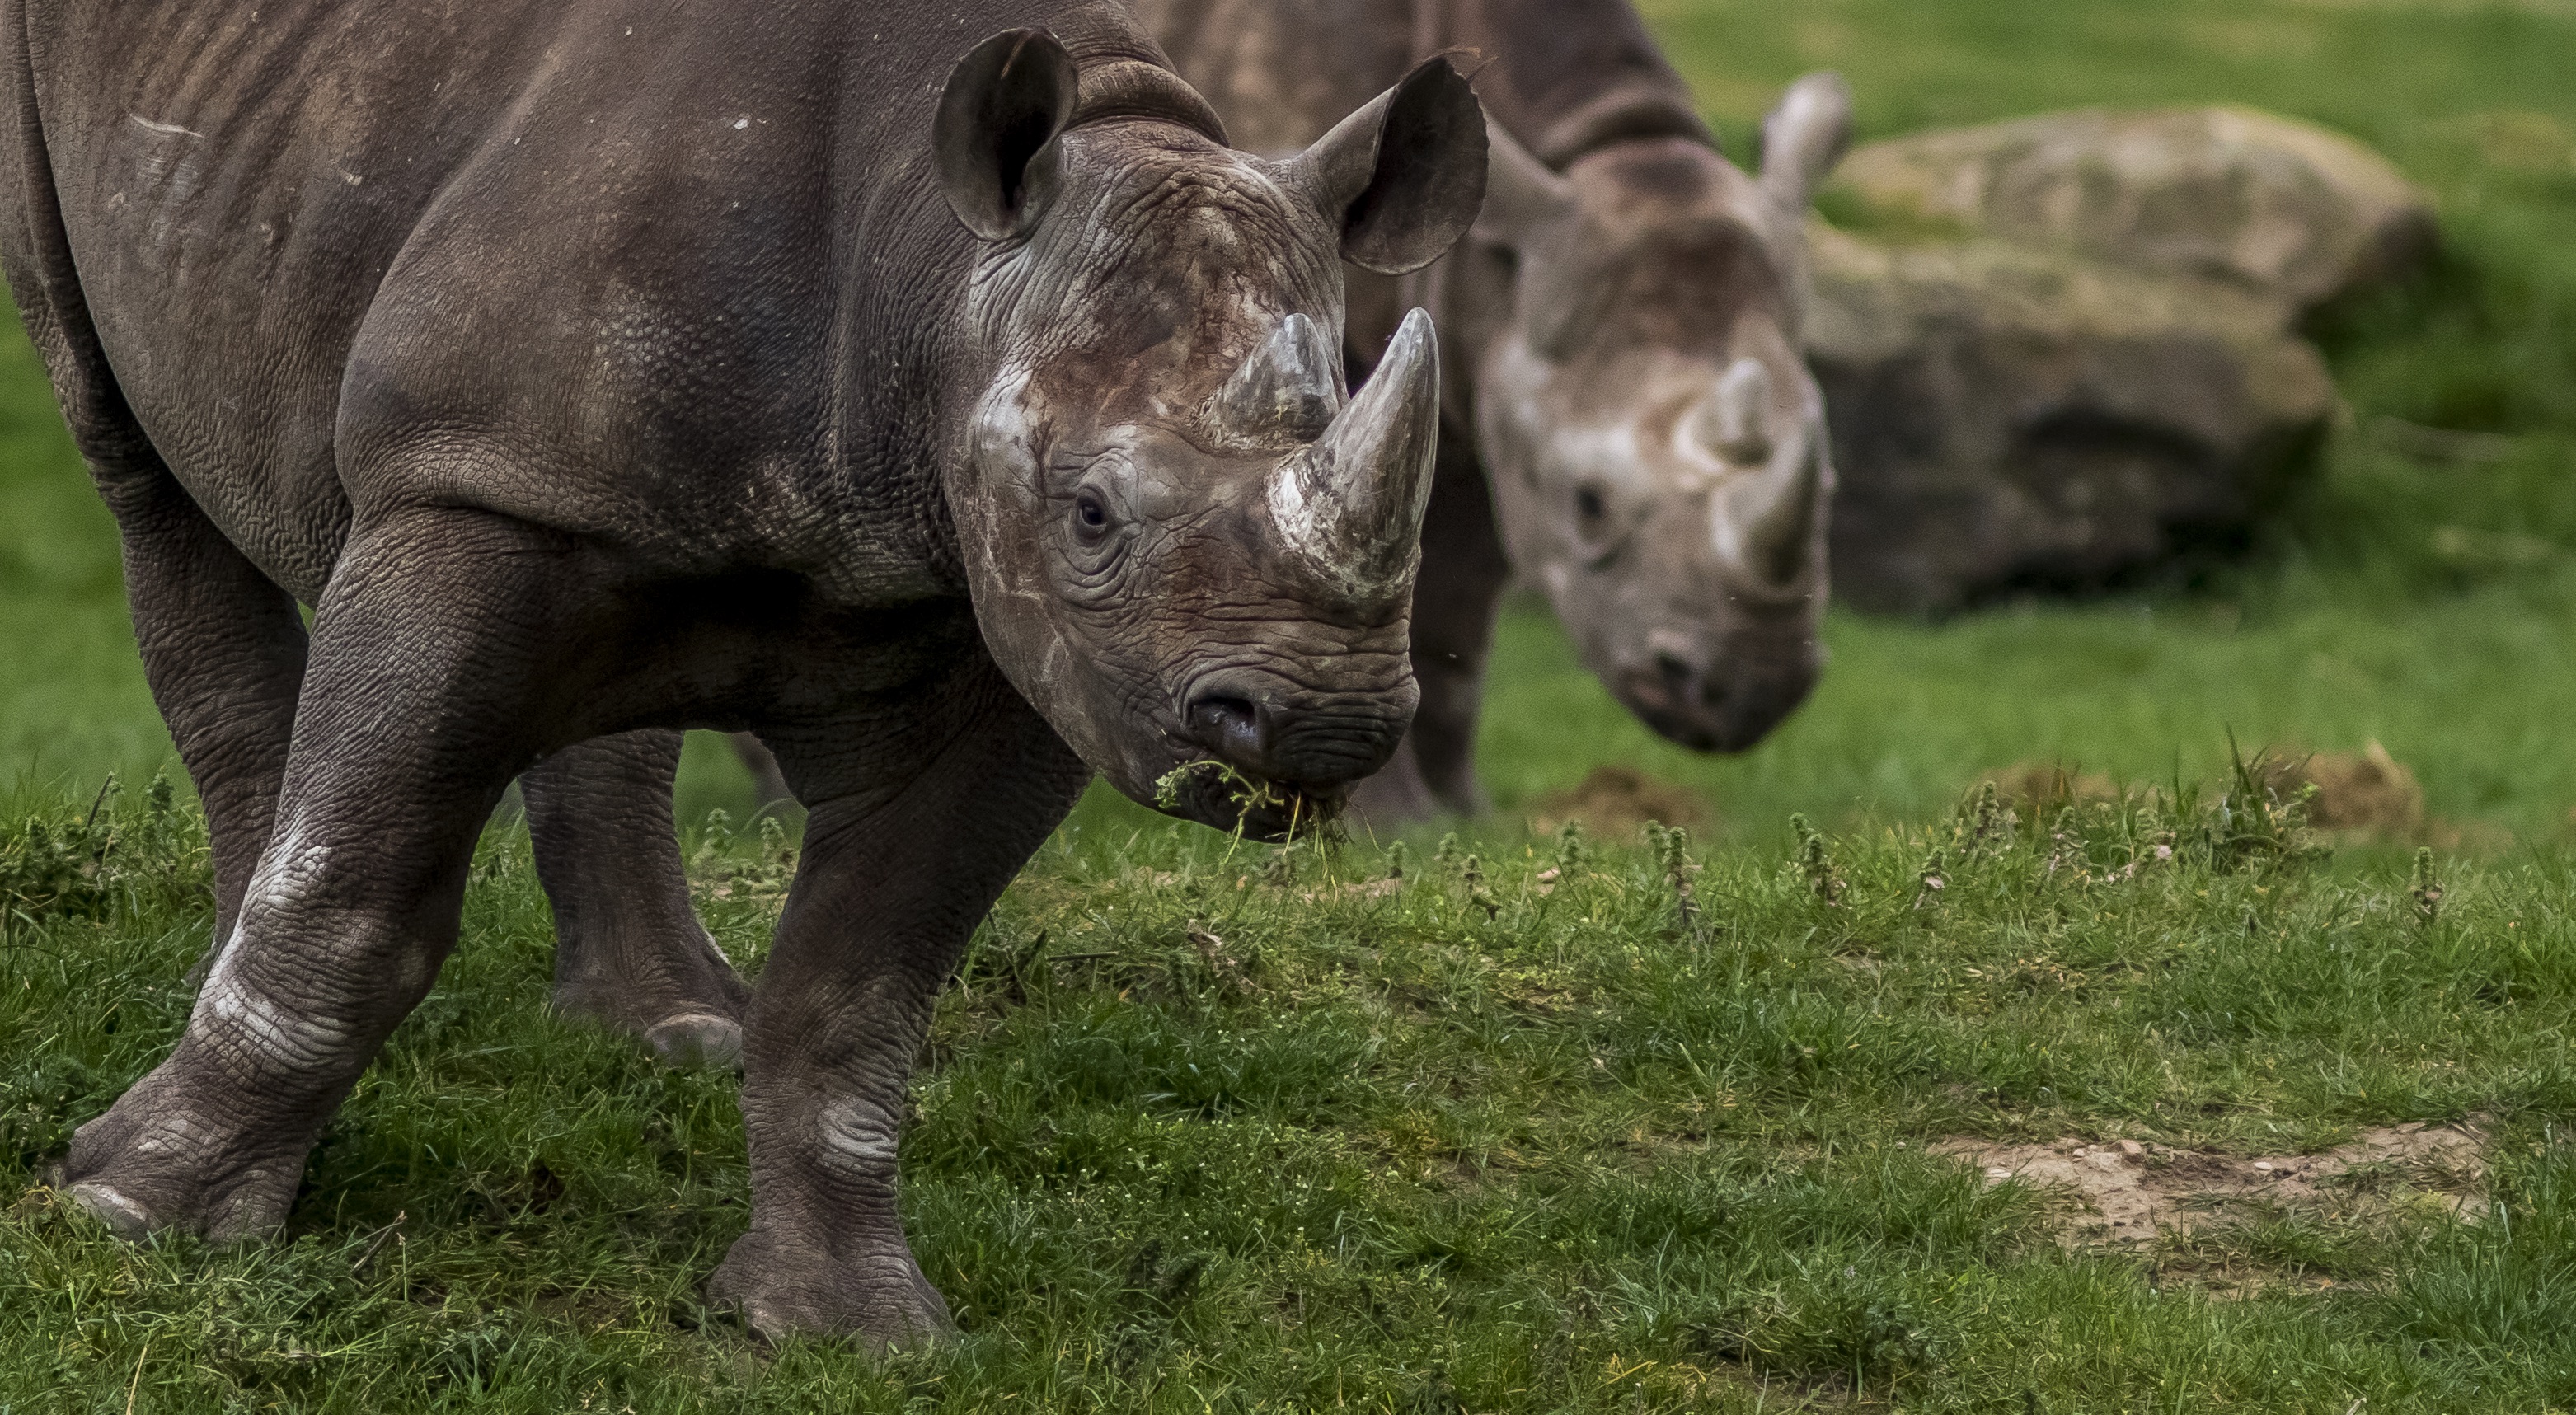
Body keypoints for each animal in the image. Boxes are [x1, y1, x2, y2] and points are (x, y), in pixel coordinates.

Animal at [10, 0, 1484, 1340]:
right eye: (1090, 515)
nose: (1323, 720)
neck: (931, 264)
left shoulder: (1023, 635)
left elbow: (859, 985)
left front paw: (844, 1325)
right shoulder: (470, 485)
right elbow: (353, 887)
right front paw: (135, 1211)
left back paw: (661, 1032)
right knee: (130, 454)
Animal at [1148, 0, 1855, 814]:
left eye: (1830, 484)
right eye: (1587, 503)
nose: (1754, 691)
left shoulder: (1476, 395)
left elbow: (1456, 605)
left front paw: (1461, 816)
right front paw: (1390, 820)